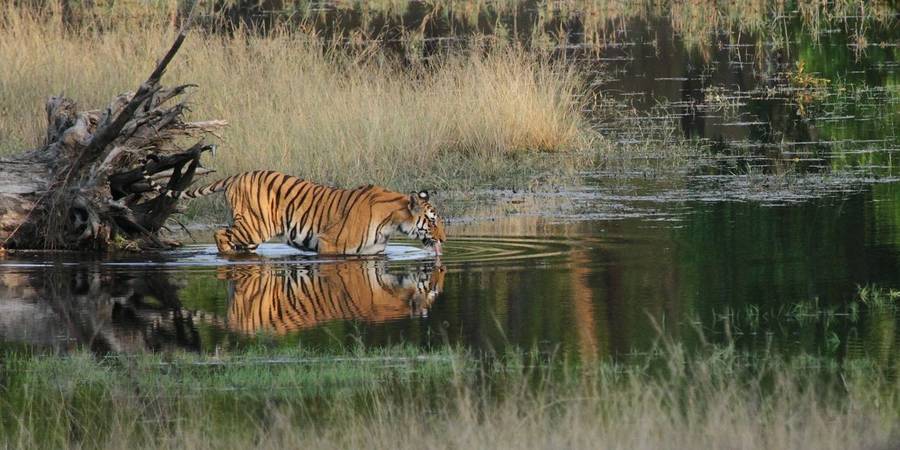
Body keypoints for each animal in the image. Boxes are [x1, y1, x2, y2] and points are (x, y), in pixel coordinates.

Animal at [143, 170, 446, 255]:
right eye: (432, 222)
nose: (443, 239)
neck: (391, 223)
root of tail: (237, 175)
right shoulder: (330, 245)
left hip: (249, 233)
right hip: (253, 227)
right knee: (220, 234)